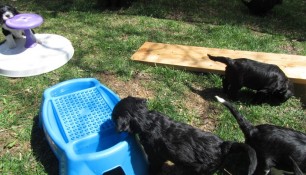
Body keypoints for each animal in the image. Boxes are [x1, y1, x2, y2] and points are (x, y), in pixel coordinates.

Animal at [111, 95, 256, 175]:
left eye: (113, 117)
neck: (147, 120)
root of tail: (223, 145)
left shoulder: (155, 156)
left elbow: (154, 166)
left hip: (202, 169)